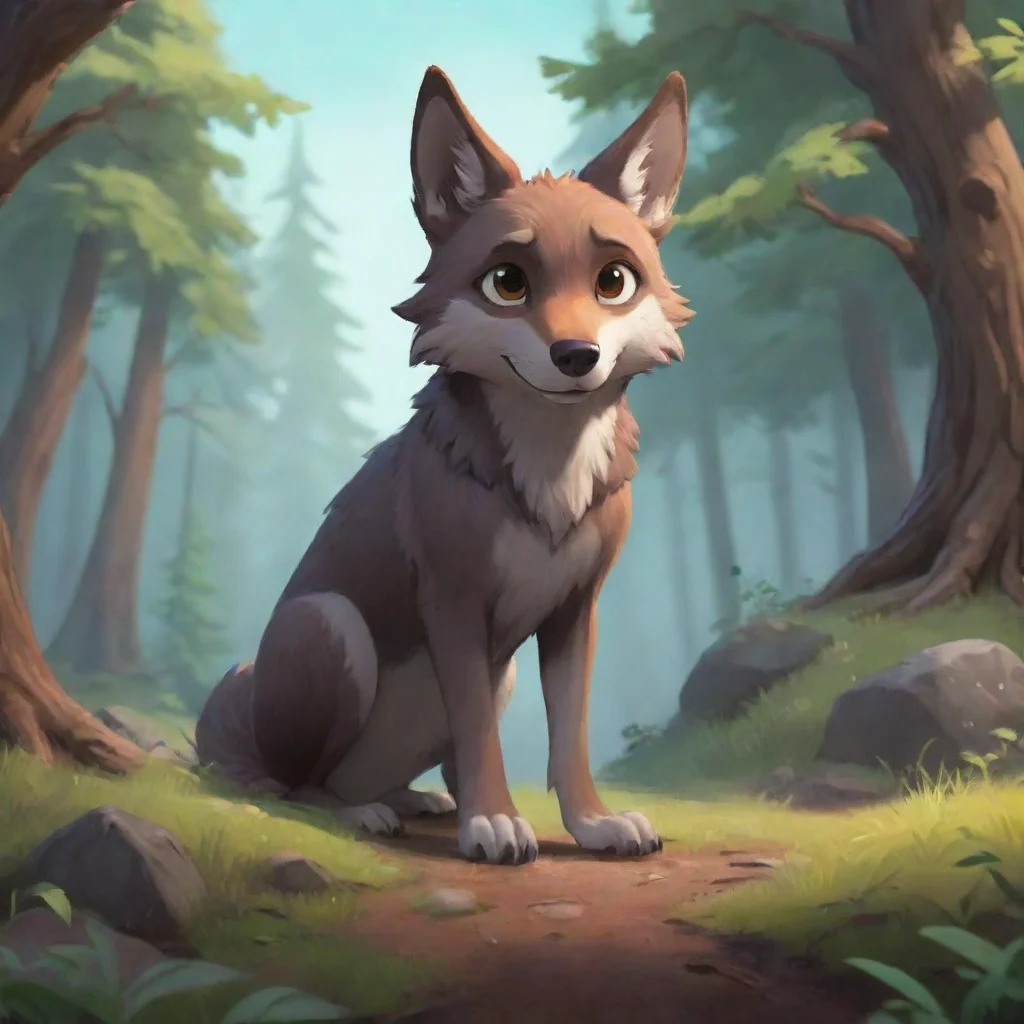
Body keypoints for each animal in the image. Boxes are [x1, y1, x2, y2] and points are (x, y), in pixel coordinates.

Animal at [195, 65, 693, 865]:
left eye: (613, 280)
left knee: (420, 769)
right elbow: (481, 734)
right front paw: (493, 823)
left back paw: (415, 798)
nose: (576, 356)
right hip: (330, 624)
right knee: (296, 785)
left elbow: (568, 738)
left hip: (500, 669)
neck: (548, 477)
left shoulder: (573, 611)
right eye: (508, 283)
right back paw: (359, 811)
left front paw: (590, 824)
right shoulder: (453, 604)